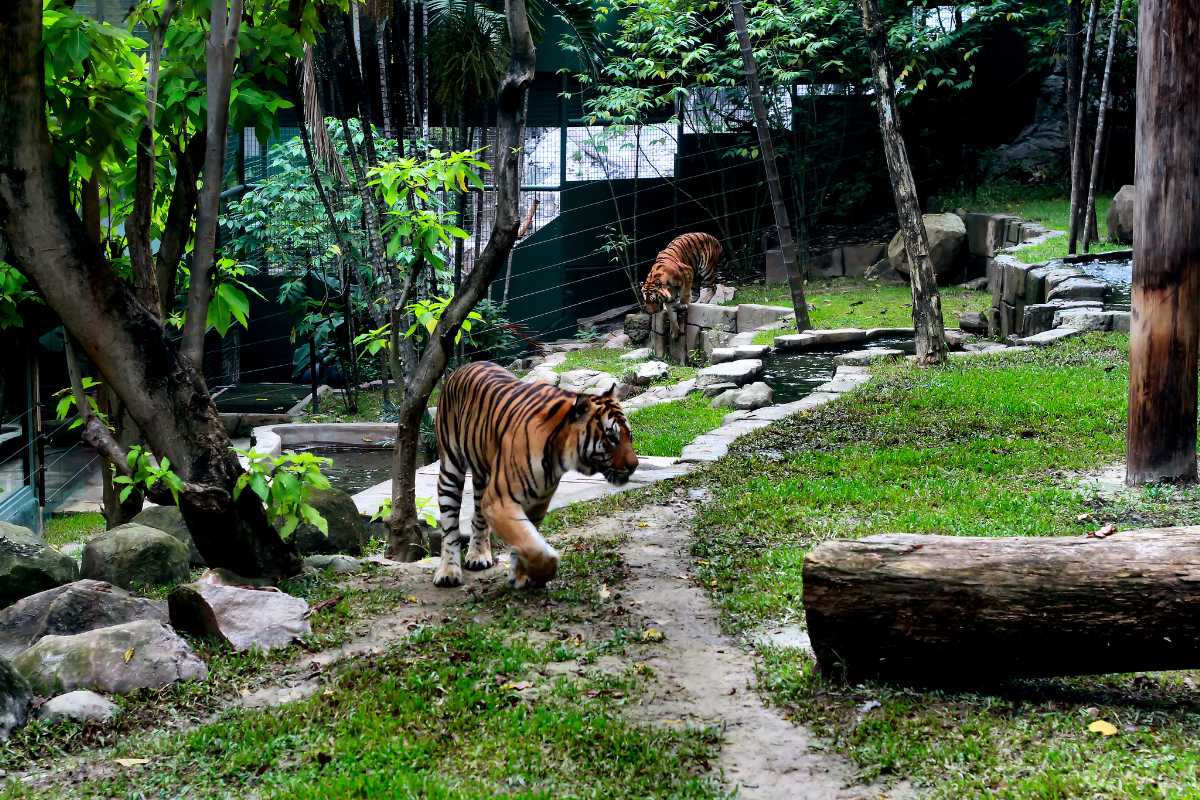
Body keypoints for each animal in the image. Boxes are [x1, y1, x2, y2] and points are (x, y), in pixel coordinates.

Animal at [432, 362, 638, 587]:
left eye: (629, 435)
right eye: (611, 438)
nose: (634, 465)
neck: (559, 454)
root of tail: (463, 367)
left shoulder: (538, 501)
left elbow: (528, 538)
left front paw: (521, 574)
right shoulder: (499, 501)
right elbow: (529, 543)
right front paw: (543, 571)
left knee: (477, 516)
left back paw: (478, 556)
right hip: (451, 469)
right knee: (449, 528)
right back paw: (448, 572)